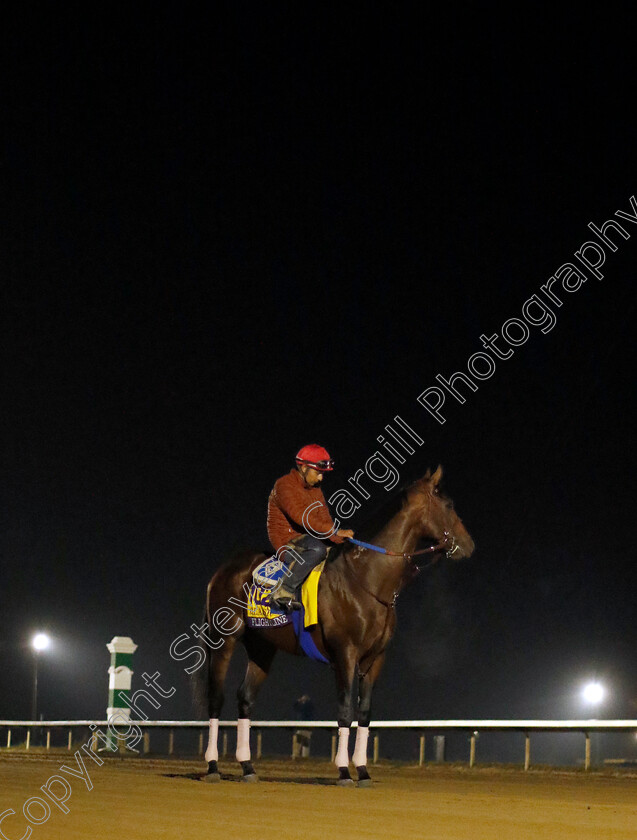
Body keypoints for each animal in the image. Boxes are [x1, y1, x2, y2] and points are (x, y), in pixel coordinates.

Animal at [201, 466, 474, 788]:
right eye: (449, 505)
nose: (469, 545)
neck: (366, 578)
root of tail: (223, 571)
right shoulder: (345, 654)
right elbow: (345, 712)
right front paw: (344, 771)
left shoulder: (375, 659)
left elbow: (364, 714)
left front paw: (363, 771)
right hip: (224, 639)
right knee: (215, 698)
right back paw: (213, 766)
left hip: (262, 648)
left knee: (245, 698)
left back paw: (247, 767)